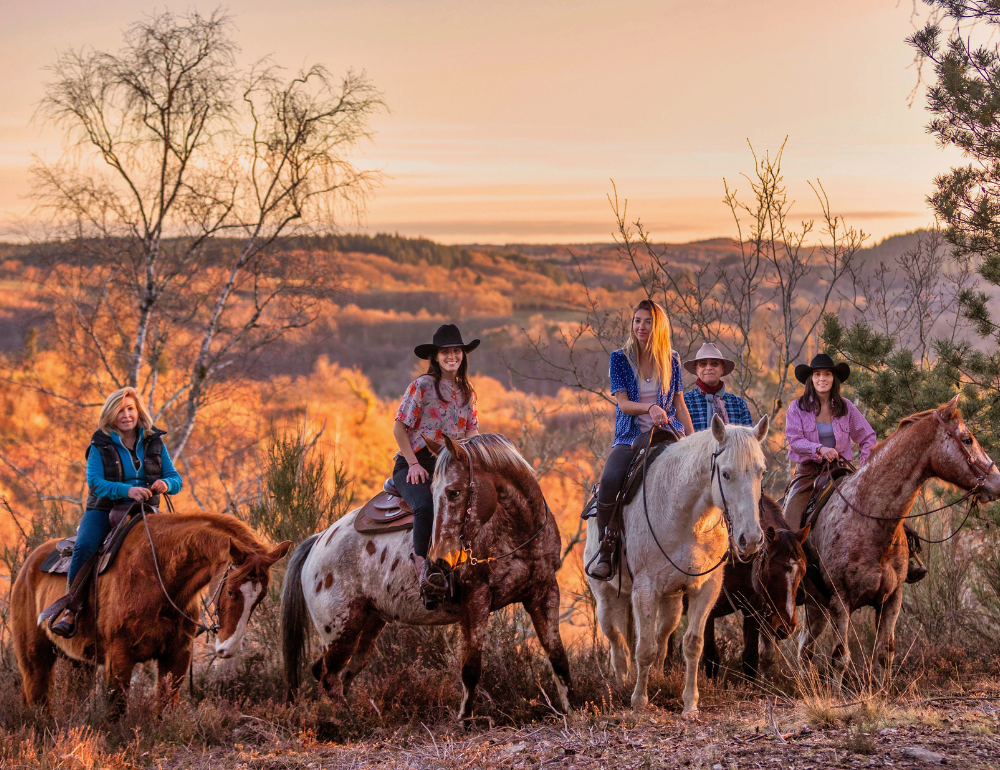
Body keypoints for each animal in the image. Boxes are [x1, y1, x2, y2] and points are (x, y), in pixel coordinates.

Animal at [13, 512, 292, 712]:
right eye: (232, 591)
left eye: (260, 597)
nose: (228, 649)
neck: (158, 578)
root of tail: (28, 565)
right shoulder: (119, 657)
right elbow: (117, 709)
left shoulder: (177, 655)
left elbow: (165, 706)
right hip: (34, 658)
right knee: (36, 698)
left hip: (78, 663)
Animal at [282, 432, 576, 720]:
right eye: (434, 493)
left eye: (454, 492)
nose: (440, 559)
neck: (516, 532)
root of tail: (319, 540)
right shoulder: (476, 599)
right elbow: (471, 666)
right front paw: (464, 720)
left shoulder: (544, 593)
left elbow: (558, 657)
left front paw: (573, 712)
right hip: (341, 629)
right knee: (328, 676)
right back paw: (348, 721)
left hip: (369, 622)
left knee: (340, 671)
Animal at [584, 414, 768, 712]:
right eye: (726, 473)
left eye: (760, 471)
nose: (750, 539)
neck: (686, 518)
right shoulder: (645, 590)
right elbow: (644, 648)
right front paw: (639, 701)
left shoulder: (706, 588)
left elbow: (692, 644)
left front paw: (690, 704)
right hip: (607, 597)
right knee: (618, 643)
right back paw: (622, 686)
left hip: (671, 600)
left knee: (662, 637)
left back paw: (658, 678)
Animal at [796, 392, 1000, 688]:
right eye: (967, 439)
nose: (997, 481)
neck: (870, 520)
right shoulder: (841, 602)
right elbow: (841, 659)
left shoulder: (892, 599)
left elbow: (884, 654)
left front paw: (881, 692)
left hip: (817, 607)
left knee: (805, 646)